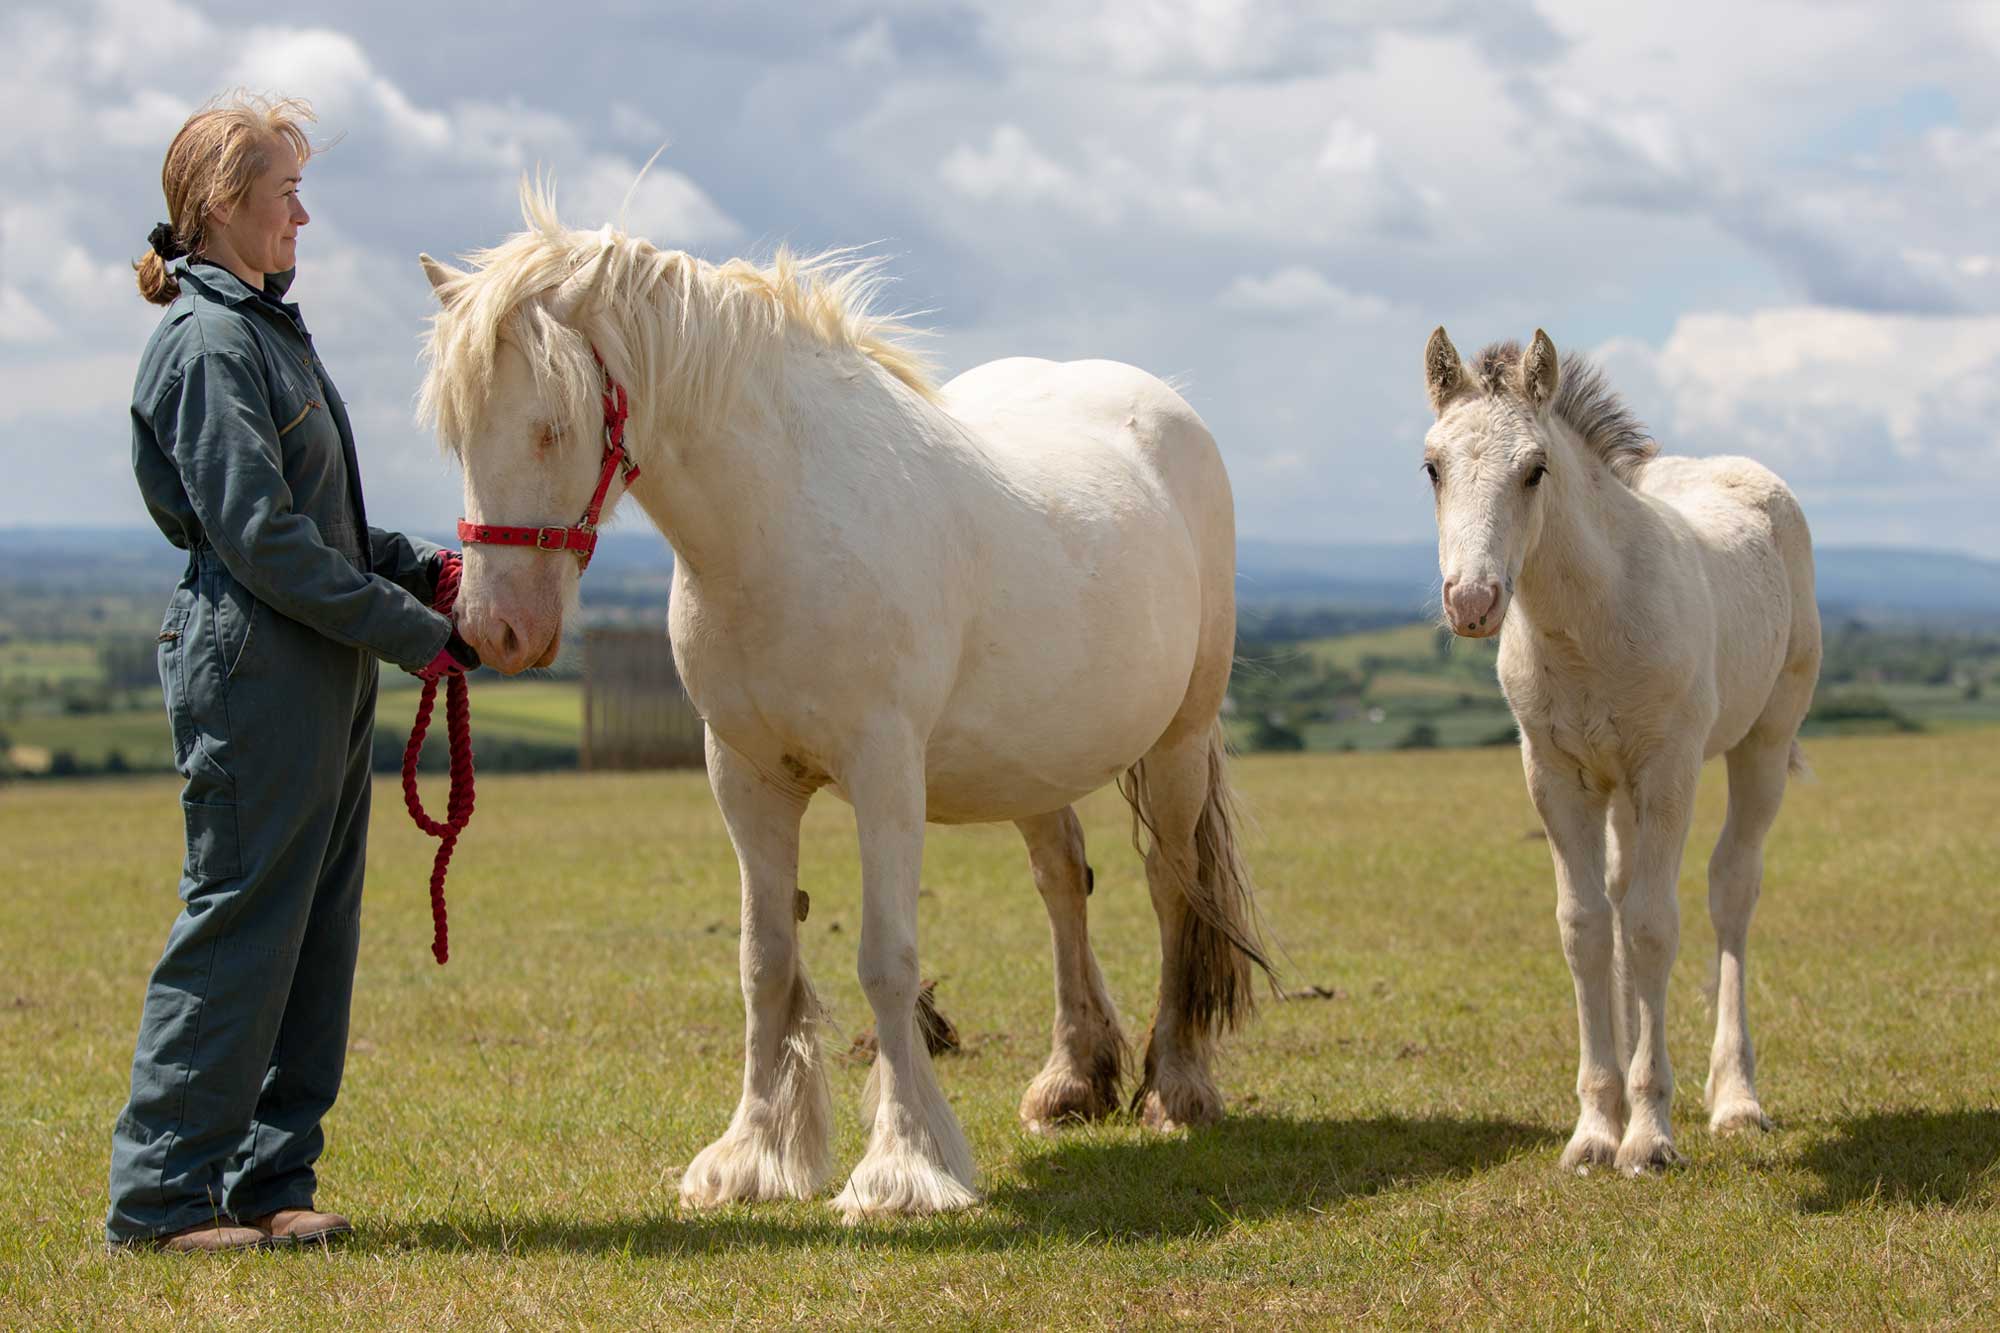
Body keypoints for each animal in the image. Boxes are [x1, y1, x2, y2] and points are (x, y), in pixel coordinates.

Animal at [416, 187, 1272, 1216]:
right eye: (460, 434)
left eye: (551, 423)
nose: (497, 628)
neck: (780, 526)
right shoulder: (745, 778)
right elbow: (765, 964)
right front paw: (753, 1155)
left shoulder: (885, 773)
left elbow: (885, 958)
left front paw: (904, 1165)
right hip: (1033, 759)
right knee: (1064, 881)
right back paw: (1074, 1079)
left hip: (1179, 739)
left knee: (1171, 885)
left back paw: (1175, 1086)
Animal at [1416, 326, 1824, 1168]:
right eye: (1432, 466)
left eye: (1534, 469)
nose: (1472, 601)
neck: (1589, 623)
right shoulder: (1556, 775)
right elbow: (1586, 927)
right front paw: (1597, 1128)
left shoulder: (1666, 769)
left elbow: (1652, 925)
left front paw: (1649, 1135)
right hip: (1621, 792)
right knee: (1623, 888)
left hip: (1762, 743)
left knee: (1730, 890)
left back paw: (1735, 1098)